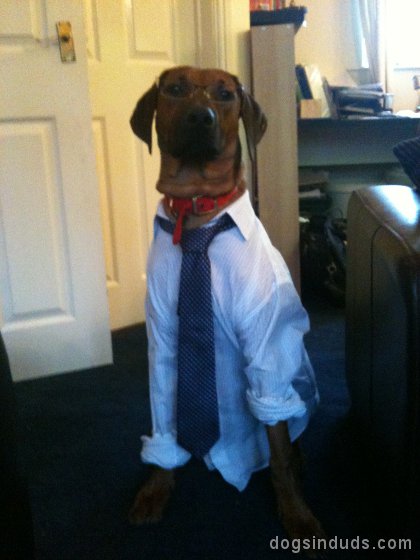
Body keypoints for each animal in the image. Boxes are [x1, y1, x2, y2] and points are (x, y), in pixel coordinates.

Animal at [128, 65, 324, 556]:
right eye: (175, 88)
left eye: (226, 94)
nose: (202, 117)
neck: (198, 214)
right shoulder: (164, 342)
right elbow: (165, 419)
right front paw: (158, 485)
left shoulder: (266, 348)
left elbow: (277, 450)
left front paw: (295, 512)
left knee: (289, 435)